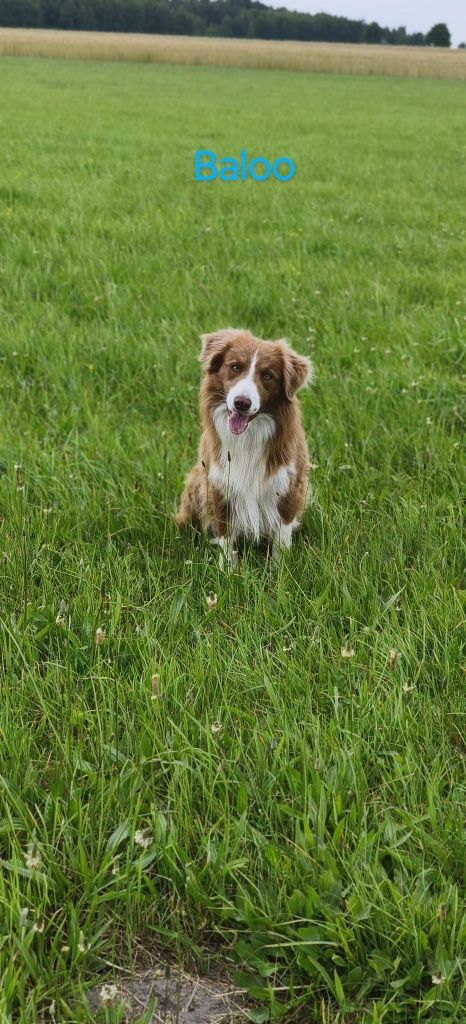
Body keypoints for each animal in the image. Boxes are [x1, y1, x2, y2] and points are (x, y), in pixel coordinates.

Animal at [176, 327, 313, 561]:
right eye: (234, 367)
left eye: (267, 375)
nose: (241, 403)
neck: (248, 436)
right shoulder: (219, 486)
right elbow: (226, 537)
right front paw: (228, 568)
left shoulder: (289, 486)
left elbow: (282, 535)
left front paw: (280, 567)